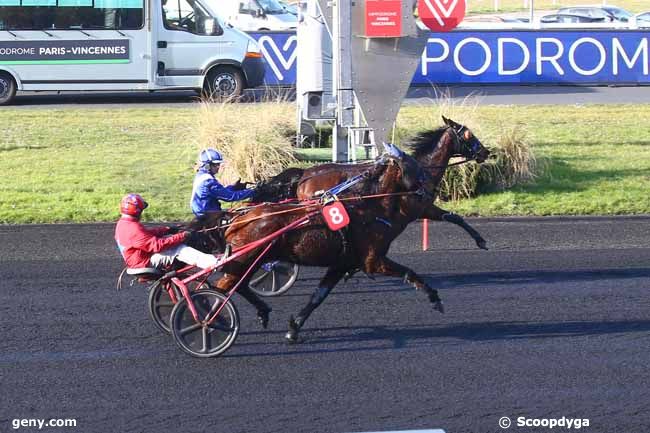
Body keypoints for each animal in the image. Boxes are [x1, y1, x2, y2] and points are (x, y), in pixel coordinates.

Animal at [256, 116, 488, 248]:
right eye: (469, 135)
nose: (486, 152)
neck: (420, 170)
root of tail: (305, 175)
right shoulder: (418, 208)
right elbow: (454, 217)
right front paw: (481, 240)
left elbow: (454, 217)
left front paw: (480, 240)